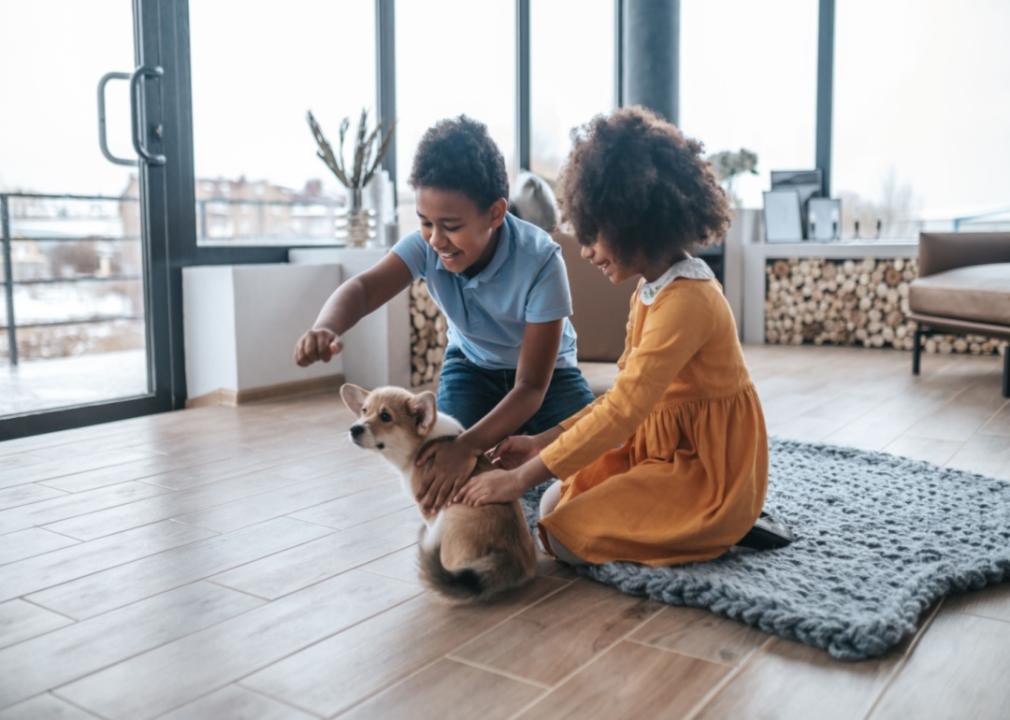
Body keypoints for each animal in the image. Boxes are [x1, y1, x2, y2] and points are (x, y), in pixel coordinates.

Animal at [339, 381, 537, 601]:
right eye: (364, 411)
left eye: (385, 416)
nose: (353, 429)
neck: (421, 443)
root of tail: (508, 561)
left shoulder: (427, 506)